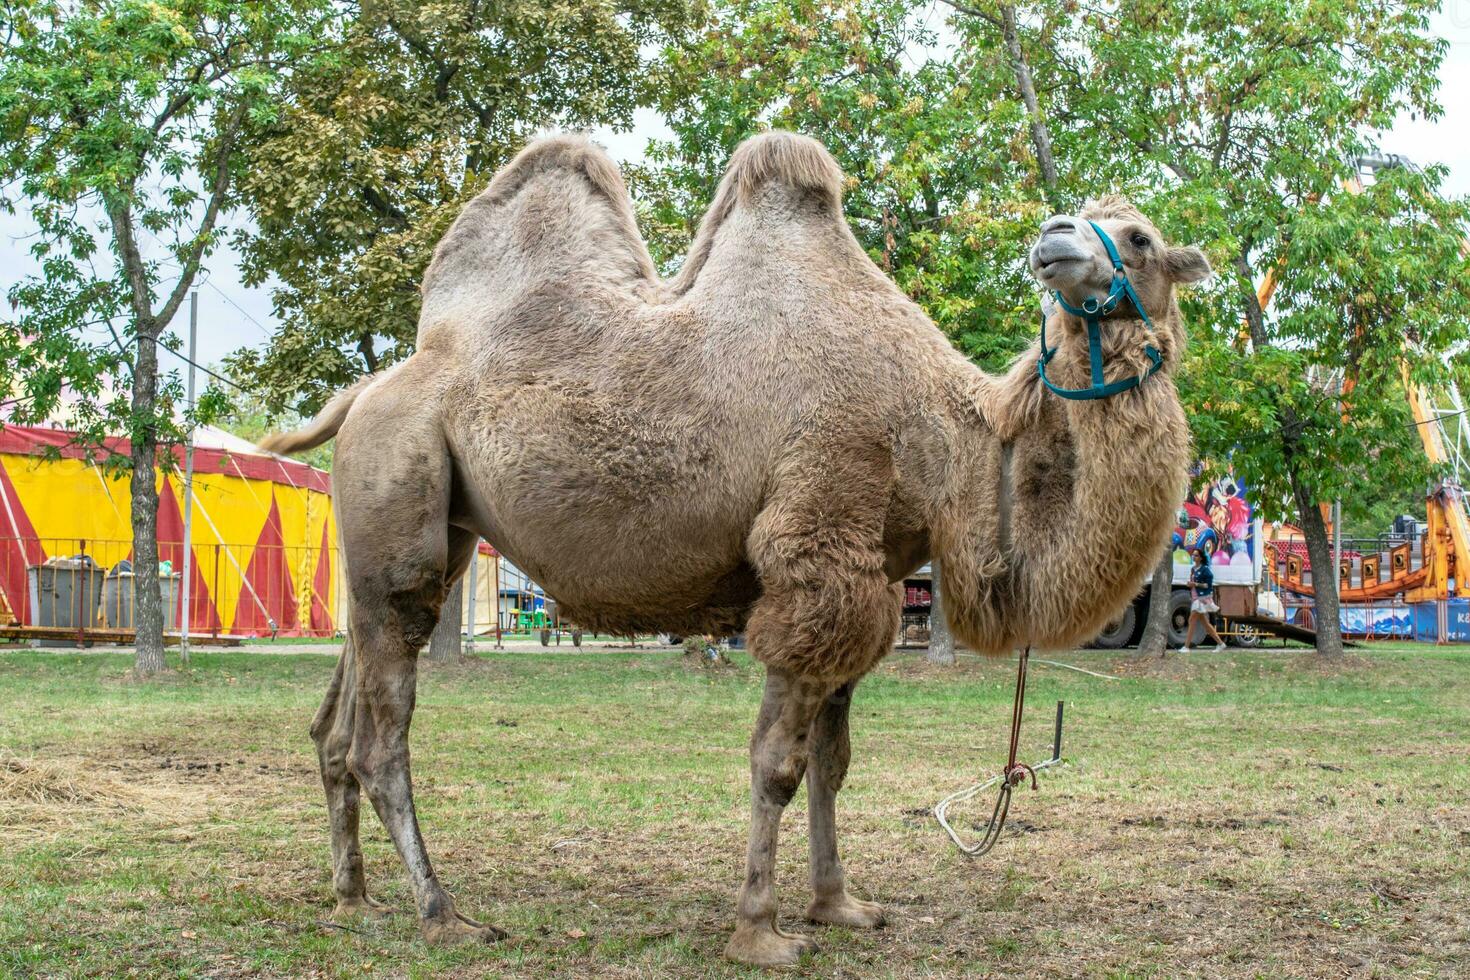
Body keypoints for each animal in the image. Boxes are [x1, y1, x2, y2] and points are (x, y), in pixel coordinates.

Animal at [261, 130, 1205, 963]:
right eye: (1114, 227)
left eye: (1137, 235)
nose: (1054, 238)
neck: (948, 436)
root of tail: (367, 391)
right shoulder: (820, 544)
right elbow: (779, 764)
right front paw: (761, 932)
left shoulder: (870, 572)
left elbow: (834, 762)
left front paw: (839, 906)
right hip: (399, 484)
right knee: (384, 731)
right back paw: (443, 915)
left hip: (419, 528)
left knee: (338, 717)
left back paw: (354, 896)